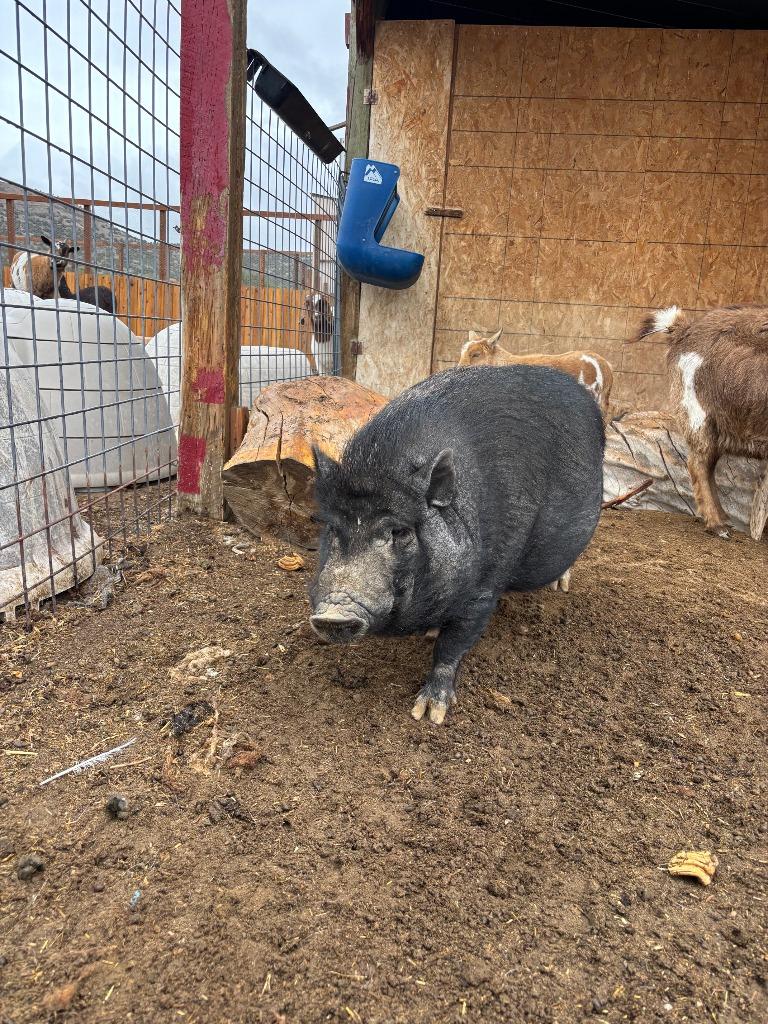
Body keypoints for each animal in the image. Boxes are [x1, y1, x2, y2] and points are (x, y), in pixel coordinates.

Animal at [309, 366, 604, 724]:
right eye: (331, 527)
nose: (333, 613)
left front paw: (428, 714)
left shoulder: (486, 585)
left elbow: (453, 644)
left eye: (400, 531)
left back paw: (560, 586)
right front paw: (430, 634)